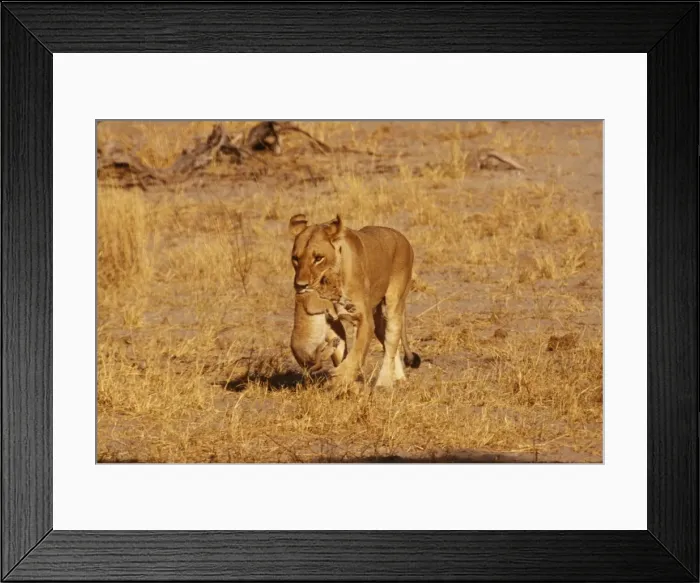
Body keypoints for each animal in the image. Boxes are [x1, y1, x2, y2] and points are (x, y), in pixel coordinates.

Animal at [289, 213, 420, 388]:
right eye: (295, 258)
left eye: (318, 258)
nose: (300, 285)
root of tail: (402, 237)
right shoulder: (333, 322)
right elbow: (341, 352)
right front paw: (347, 383)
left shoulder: (364, 319)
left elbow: (356, 353)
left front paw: (341, 378)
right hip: (379, 317)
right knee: (390, 342)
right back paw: (398, 378)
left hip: (395, 302)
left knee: (392, 339)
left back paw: (384, 383)